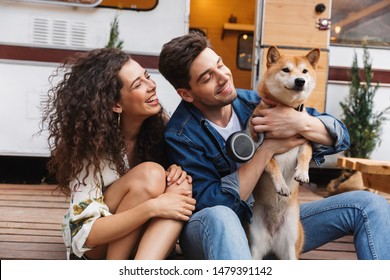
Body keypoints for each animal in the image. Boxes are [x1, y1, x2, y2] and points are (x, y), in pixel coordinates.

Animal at [247, 46, 320, 260]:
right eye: (286, 70)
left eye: (304, 71)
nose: (300, 81)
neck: (286, 109)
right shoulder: (262, 149)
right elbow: (272, 166)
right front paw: (281, 186)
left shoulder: (305, 140)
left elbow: (305, 156)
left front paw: (302, 174)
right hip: (254, 248)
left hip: (291, 248)